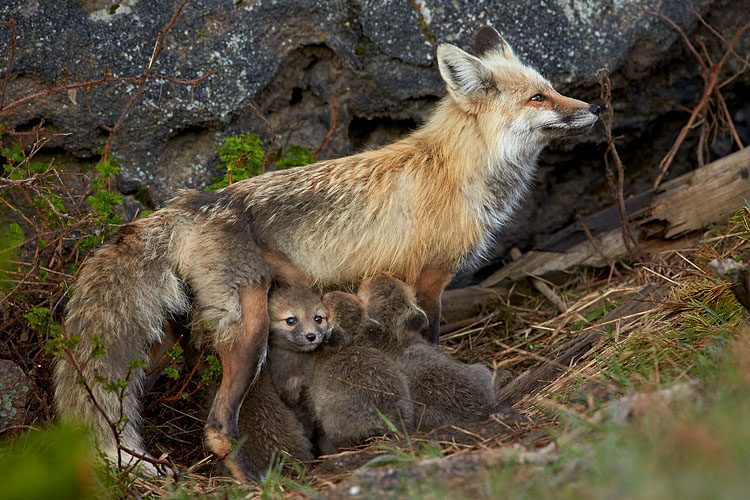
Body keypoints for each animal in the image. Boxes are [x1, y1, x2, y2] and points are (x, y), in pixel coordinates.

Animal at [53, 25, 599, 480]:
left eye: (551, 87)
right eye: (538, 96)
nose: (593, 109)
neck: (455, 168)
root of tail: (188, 203)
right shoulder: (429, 278)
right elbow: (431, 344)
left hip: (165, 341)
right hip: (249, 328)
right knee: (217, 427)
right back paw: (254, 480)